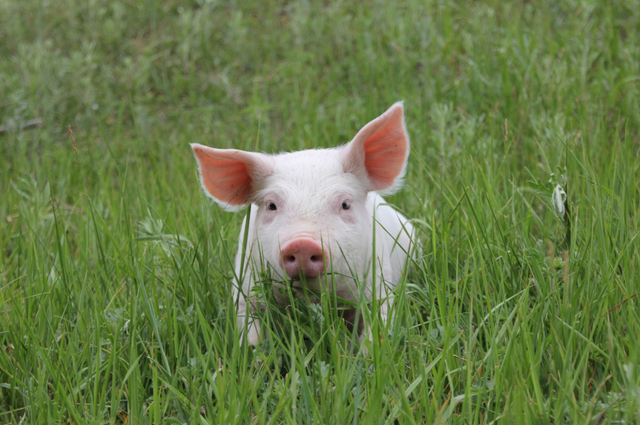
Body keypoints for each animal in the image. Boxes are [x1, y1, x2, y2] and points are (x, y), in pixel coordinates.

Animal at [192, 102, 418, 344]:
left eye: (345, 204)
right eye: (271, 205)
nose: (302, 243)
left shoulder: (380, 286)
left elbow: (377, 334)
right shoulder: (244, 289)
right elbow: (249, 333)